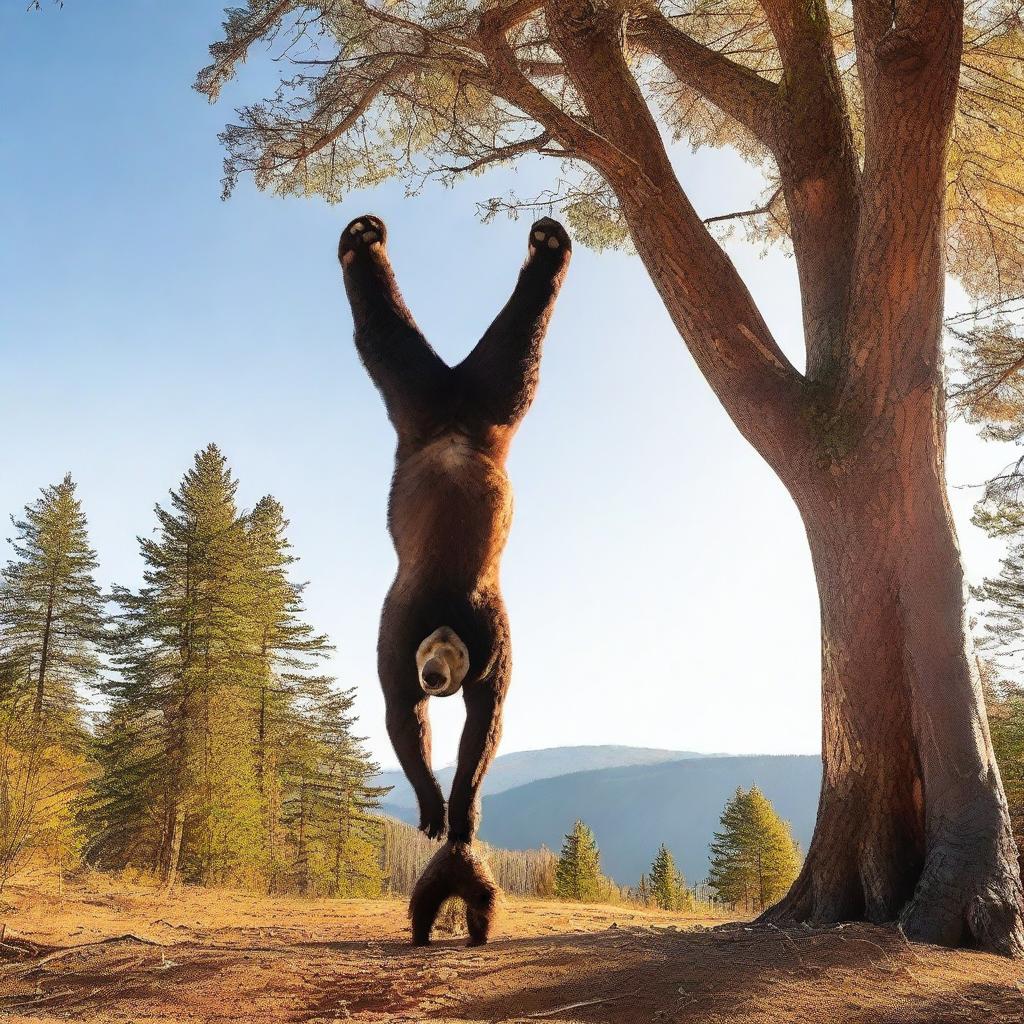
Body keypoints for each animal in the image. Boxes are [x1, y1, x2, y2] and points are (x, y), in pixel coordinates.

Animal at [339, 209, 573, 942]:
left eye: (449, 664)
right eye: (428, 666)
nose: (436, 674)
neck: (443, 618)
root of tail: (452, 408)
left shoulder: (491, 635)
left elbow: (485, 719)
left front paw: (459, 807)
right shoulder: (395, 636)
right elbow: (399, 712)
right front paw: (431, 805)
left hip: (481, 401)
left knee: (513, 351)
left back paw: (547, 249)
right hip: (423, 405)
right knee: (390, 345)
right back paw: (362, 241)